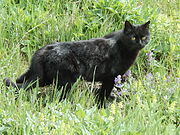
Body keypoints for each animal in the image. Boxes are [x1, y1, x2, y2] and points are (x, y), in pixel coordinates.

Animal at [4, 20, 150, 107]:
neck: (123, 46)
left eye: (144, 37)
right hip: (65, 81)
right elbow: (105, 93)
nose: (140, 43)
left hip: (42, 77)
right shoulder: (110, 77)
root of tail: (43, 50)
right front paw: (102, 106)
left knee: (19, 82)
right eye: (133, 37)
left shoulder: (116, 77)